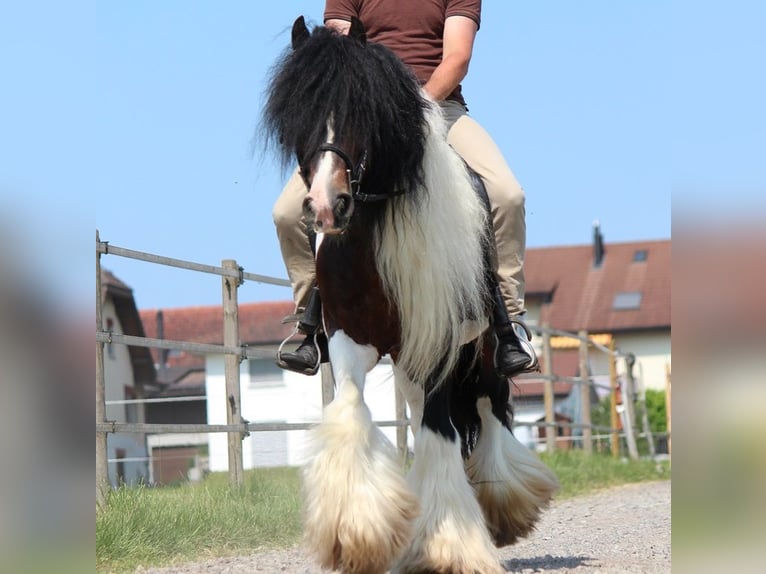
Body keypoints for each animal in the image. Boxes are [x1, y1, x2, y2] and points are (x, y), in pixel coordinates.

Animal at [264, 15, 560, 572]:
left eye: (363, 112)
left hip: (483, 349)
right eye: (296, 114)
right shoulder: (349, 338)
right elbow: (352, 412)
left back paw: (504, 511)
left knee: (488, 408)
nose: (326, 206)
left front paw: (448, 547)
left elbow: (441, 432)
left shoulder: (439, 340)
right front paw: (357, 534)